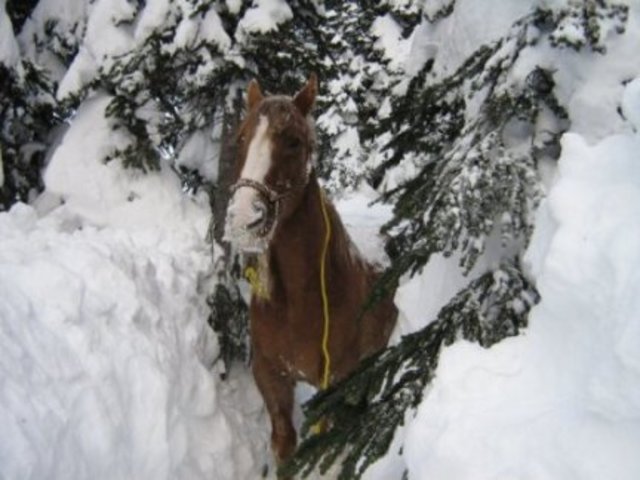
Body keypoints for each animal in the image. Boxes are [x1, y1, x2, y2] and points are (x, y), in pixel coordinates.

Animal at [224, 74, 397, 475]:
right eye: (241, 137)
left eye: (294, 141)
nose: (244, 218)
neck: (299, 304)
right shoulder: (271, 376)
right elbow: (285, 444)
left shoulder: (336, 384)